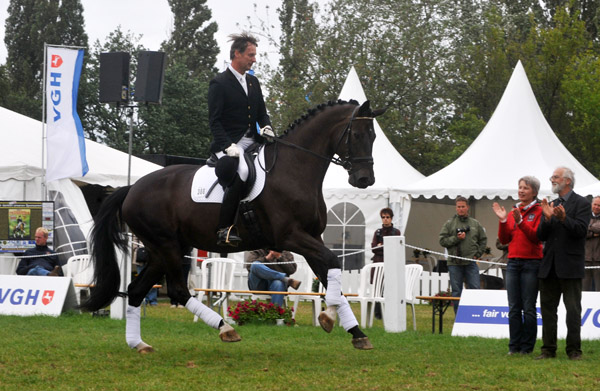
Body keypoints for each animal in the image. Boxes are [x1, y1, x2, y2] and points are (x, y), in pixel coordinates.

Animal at [82, 100, 386, 352]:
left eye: (373, 137)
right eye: (357, 135)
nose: (364, 180)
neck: (294, 170)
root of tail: (132, 189)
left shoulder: (313, 238)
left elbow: (329, 273)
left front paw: (354, 331)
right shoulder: (291, 236)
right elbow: (333, 261)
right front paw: (329, 316)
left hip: (162, 250)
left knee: (136, 290)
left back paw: (139, 344)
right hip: (166, 246)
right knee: (178, 290)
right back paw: (225, 328)